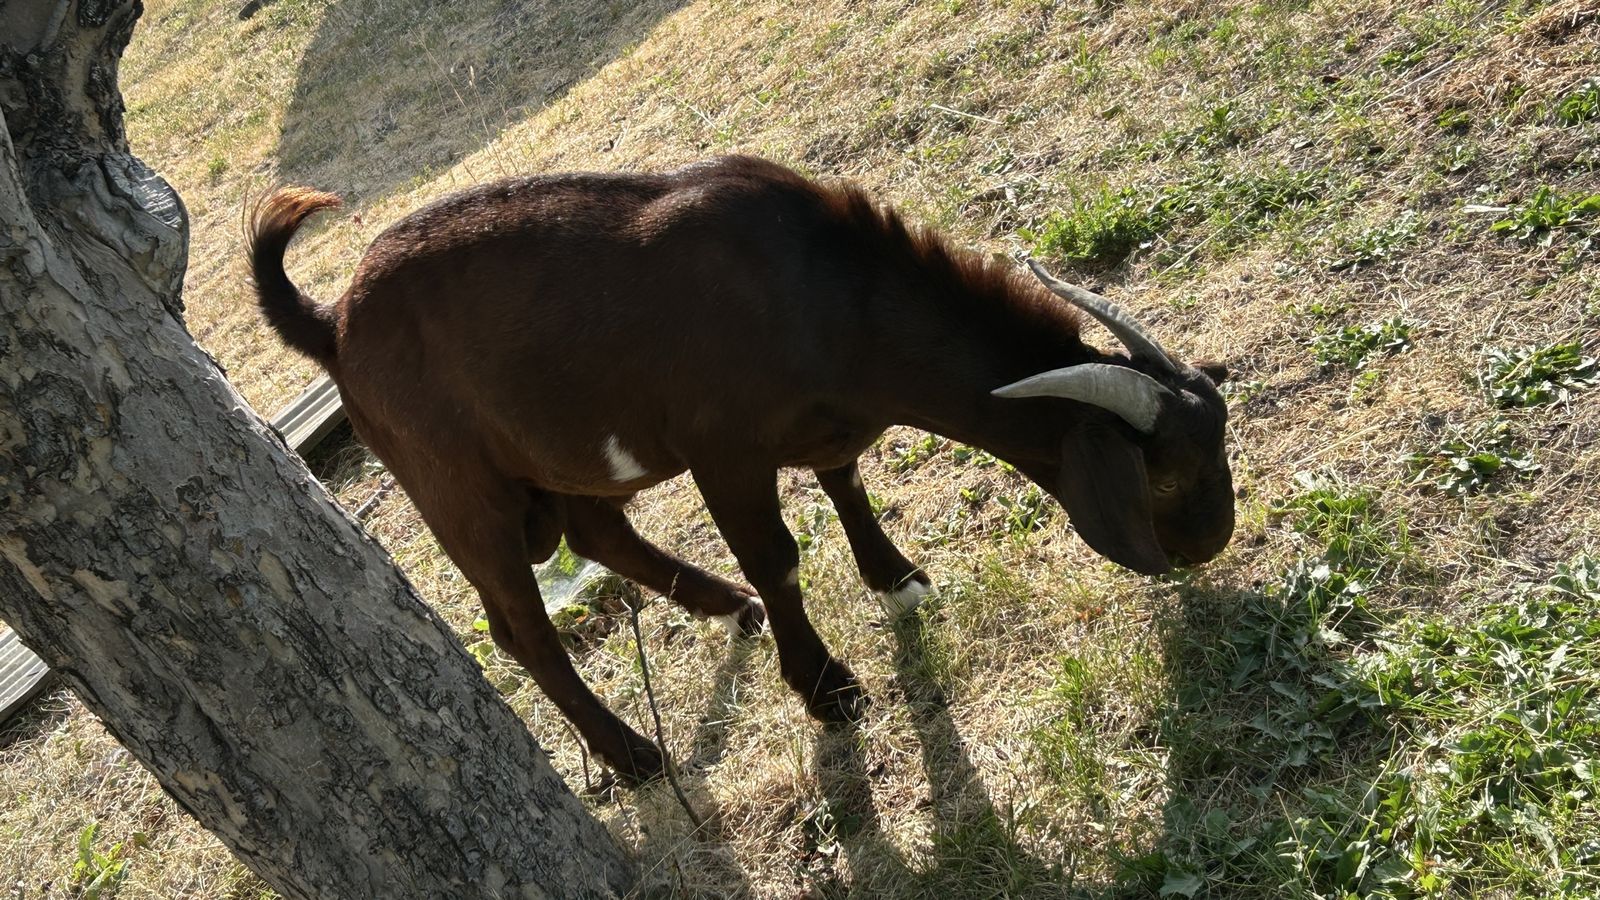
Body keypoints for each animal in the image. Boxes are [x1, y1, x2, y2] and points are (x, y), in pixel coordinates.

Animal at [248, 155, 1234, 784]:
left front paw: (897, 580)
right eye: (1165, 479)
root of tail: (332, 324)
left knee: (597, 529)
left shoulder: (831, 428)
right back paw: (633, 756)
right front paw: (829, 691)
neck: (823, 294)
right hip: (455, 485)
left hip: (556, 456)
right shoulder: (724, 452)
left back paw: (727, 608)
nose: (1212, 542)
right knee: (518, 626)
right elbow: (779, 555)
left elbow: (846, 484)